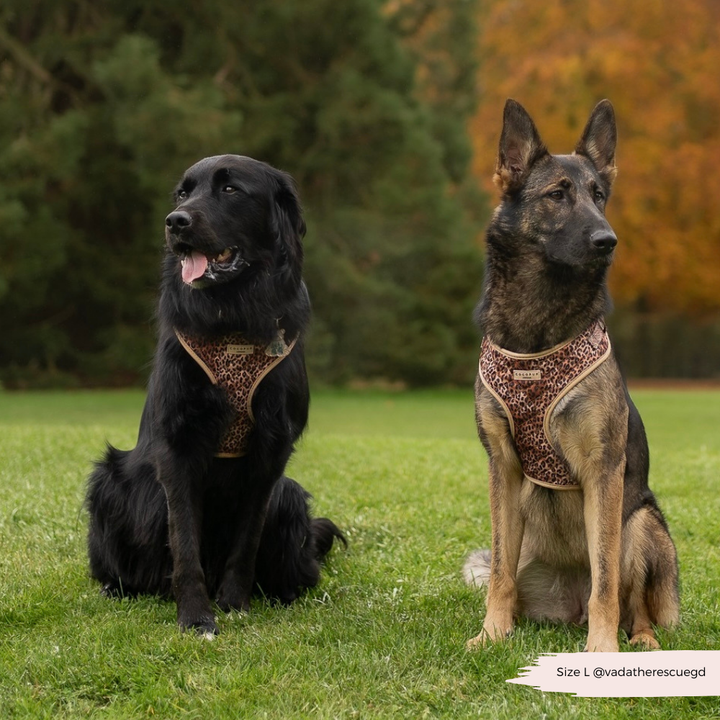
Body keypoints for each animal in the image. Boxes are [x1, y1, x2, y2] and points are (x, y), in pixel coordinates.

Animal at [86, 153, 344, 636]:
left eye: (230, 189)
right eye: (182, 193)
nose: (175, 222)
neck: (232, 317)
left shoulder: (272, 450)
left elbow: (246, 540)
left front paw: (233, 602)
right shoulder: (178, 444)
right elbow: (184, 542)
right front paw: (195, 616)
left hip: (288, 496)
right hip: (112, 482)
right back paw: (118, 586)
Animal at [464, 102, 676, 652]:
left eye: (599, 196)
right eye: (557, 194)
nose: (607, 239)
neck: (537, 336)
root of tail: (569, 607)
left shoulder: (604, 471)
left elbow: (605, 578)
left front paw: (601, 650)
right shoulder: (502, 467)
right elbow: (499, 571)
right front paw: (492, 633)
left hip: (640, 521)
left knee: (631, 601)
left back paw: (639, 640)